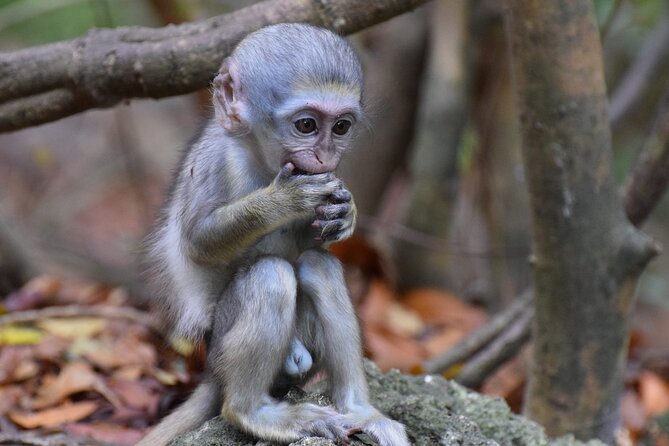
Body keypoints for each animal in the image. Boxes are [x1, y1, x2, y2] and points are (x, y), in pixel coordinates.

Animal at [138, 23, 410, 446]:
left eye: (341, 127)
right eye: (306, 125)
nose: (325, 155)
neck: (260, 161)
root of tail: (212, 371)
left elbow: (313, 241)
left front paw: (346, 212)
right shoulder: (218, 160)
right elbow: (197, 244)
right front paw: (282, 201)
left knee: (319, 267)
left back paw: (360, 411)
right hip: (225, 343)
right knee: (270, 275)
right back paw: (252, 412)